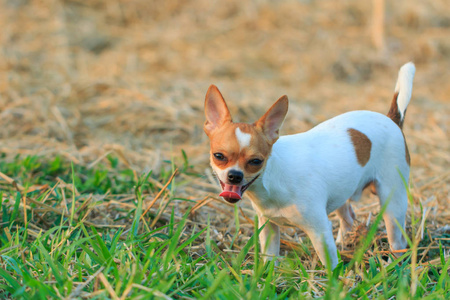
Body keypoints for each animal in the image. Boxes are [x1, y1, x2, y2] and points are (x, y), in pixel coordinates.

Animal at [204, 62, 414, 268]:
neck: (273, 180)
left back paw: (394, 263)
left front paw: (334, 278)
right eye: (219, 156)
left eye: (256, 161)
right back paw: (344, 243)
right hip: (342, 192)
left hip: (392, 203)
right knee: (348, 216)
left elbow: (330, 267)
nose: (235, 175)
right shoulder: (269, 226)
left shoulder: (320, 231)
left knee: (398, 240)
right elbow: (269, 258)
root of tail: (391, 119)